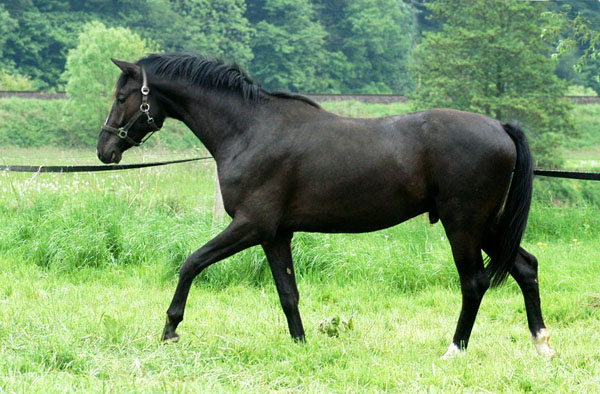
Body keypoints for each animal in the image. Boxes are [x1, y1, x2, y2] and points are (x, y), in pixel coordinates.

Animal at [97, 53, 552, 358]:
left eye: (122, 96)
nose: (105, 150)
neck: (250, 130)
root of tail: (500, 127)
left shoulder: (251, 225)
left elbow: (191, 263)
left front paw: (170, 329)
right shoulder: (276, 234)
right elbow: (288, 292)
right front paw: (300, 344)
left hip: (463, 225)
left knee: (474, 283)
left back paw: (455, 350)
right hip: (486, 225)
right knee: (526, 267)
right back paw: (541, 343)